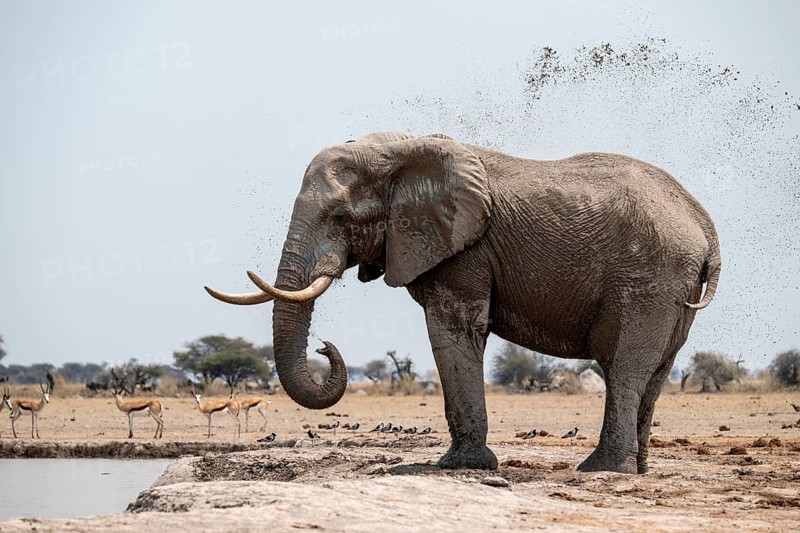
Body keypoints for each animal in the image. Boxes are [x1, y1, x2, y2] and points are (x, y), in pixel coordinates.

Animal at [206, 131, 721, 474]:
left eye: (341, 217)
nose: (325, 346)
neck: (402, 150)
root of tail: (705, 228)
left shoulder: (465, 250)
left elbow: (454, 329)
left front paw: (460, 466)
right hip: (673, 289)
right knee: (654, 371)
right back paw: (637, 469)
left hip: (648, 280)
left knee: (623, 365)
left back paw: (602, 469)